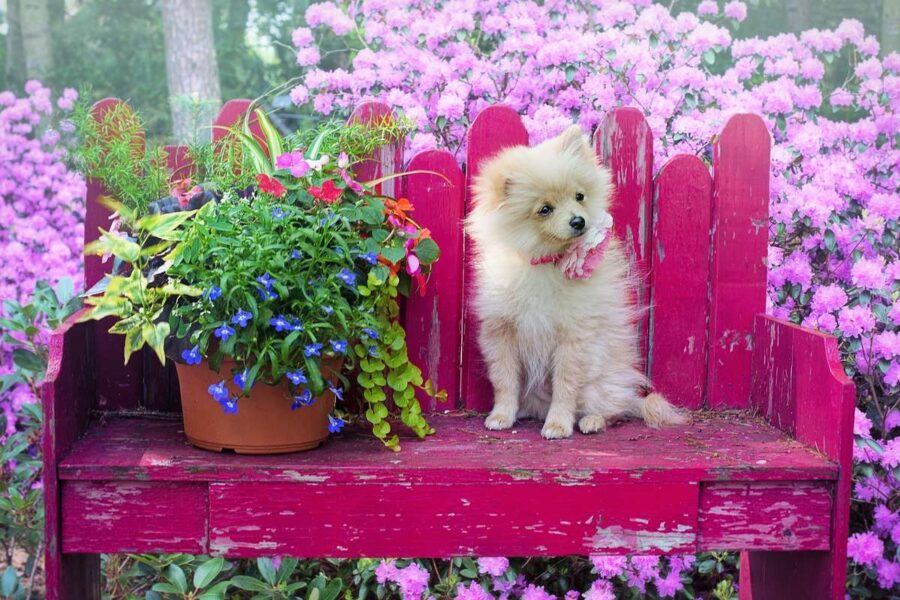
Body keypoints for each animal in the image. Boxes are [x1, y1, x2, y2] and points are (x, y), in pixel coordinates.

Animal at [468, 124, 684, 438]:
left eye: (579, 196)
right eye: (545, 209)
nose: (578, 221)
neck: (544, 262)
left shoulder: (574, 338)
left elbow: (565, 386)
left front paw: (558, 424)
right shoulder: (501, 332)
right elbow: (504, 380)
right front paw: (501, 415)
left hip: (599, 383)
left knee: (612, 409)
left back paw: (592, 420)